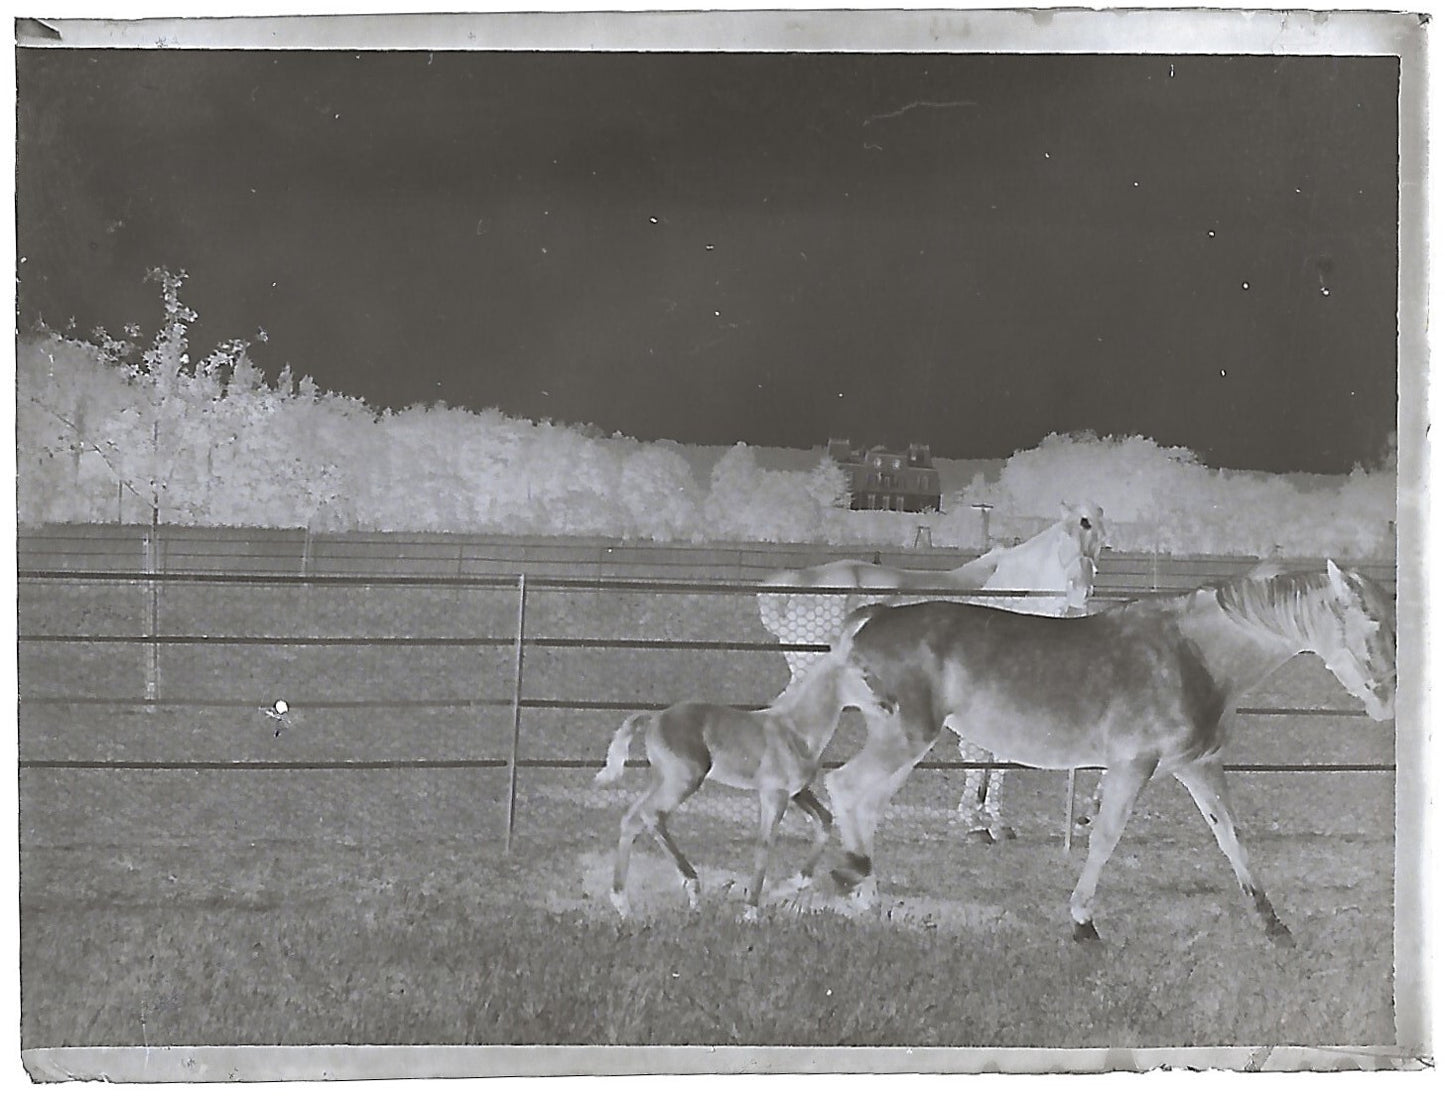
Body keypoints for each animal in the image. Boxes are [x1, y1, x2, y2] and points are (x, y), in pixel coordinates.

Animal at [593, 613, 889, 921]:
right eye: (865, 674)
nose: (889, 704)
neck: (795, 728)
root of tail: (653, 718)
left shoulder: (797, 791)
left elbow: (824, 821)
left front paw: (789, 886)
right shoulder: (773, 793)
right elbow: (764, 844)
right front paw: (750, 911)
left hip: (662, 779)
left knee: (632, 818)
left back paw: (623, 905)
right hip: (685, 779)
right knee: (652, 815)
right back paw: (692, 887)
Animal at [757, 500, 1107, 840]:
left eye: (1103, 541)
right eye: (1067, 532)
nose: (1081, 590)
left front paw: (991, 820)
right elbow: (979, 753)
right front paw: (974, 821)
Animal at [824, 560, 1396, 944]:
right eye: (1370, 623)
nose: (1388, 699)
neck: (1193, 655)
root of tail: (873, 619)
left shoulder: (1199, 766)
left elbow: (1231, 838)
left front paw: (1274, 926)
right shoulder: (1131, 765)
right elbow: (1105, 837)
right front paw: (1083, 924)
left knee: (863, 803)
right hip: (904, 738)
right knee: (845, 789)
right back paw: (862, 894)